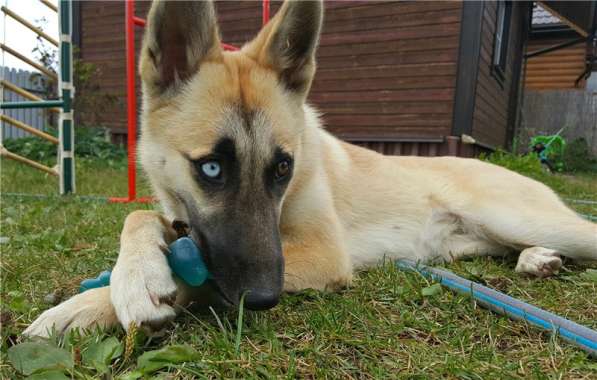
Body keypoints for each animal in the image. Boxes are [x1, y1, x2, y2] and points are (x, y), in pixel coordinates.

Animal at [21, 0, 592, 338]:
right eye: (211, 168)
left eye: (283, 167)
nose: (264, 299)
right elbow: (138, 217)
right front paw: (134, 273)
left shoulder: (319, 252)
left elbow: (204, 278)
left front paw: (93, 303)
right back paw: (536, 260)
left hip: (526, 218)